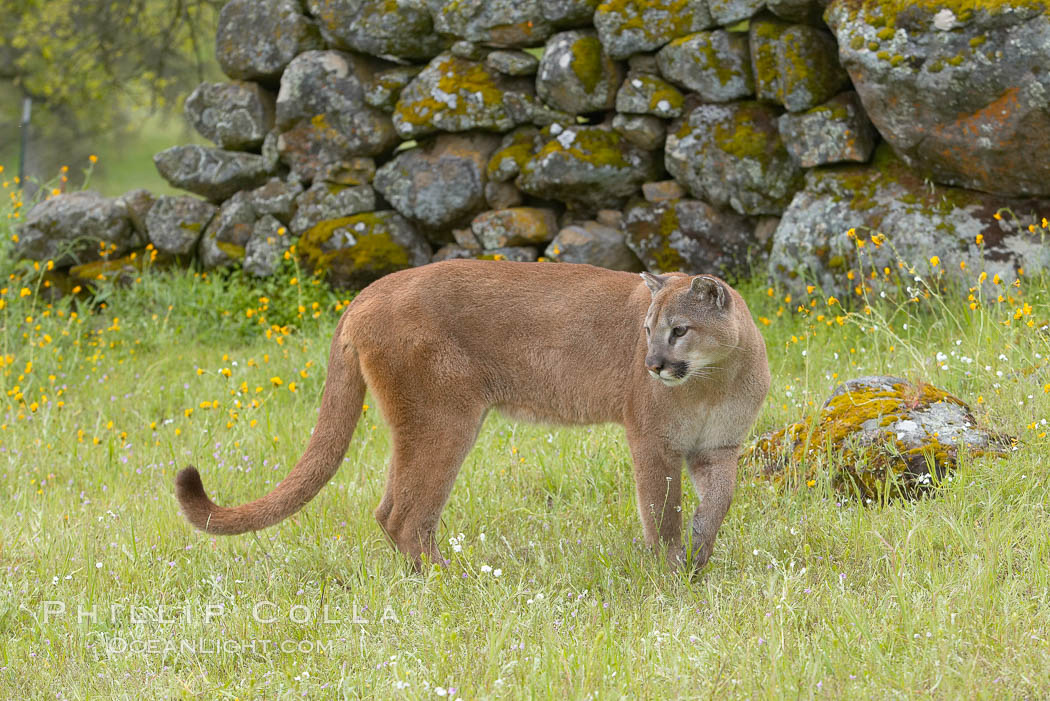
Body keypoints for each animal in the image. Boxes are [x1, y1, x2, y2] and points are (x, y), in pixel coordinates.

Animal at [176, 260, 772, 570]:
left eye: (679, 329)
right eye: (647, 329)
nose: (651, 364)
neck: (713, 379)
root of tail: (370, 289)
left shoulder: (718, 449)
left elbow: (717, 505)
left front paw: (700, 559)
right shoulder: (653, 443)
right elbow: (662, 510)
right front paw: (669, 572)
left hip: (427, 425)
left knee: (391, 509)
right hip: (445, 419)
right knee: (404, 514)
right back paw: (449, 580)